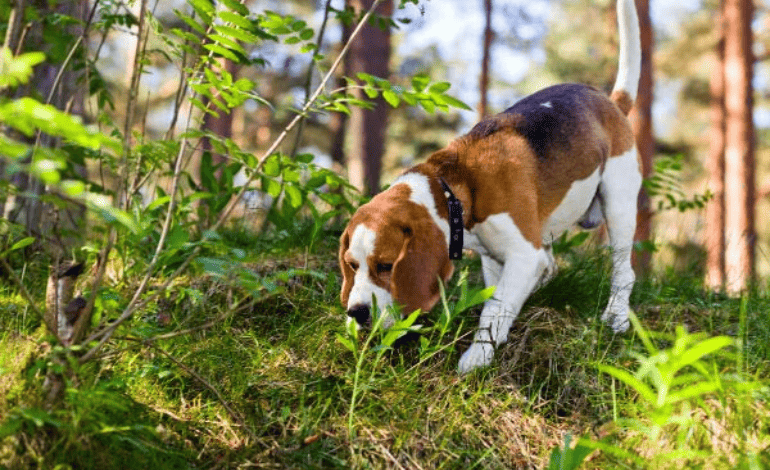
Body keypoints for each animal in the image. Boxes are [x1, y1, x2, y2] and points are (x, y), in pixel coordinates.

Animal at [340, 0, 640, 374]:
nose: (356, 312)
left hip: (619, 203)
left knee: (624, 270)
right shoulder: (495, 259)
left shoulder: (523, 254)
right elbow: (499, 300)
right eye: (352, 265)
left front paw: (477, 356)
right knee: (551, 266)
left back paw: (616, 316)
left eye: (385, 266)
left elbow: (493, 309)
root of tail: (611, 103)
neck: (456, 189)